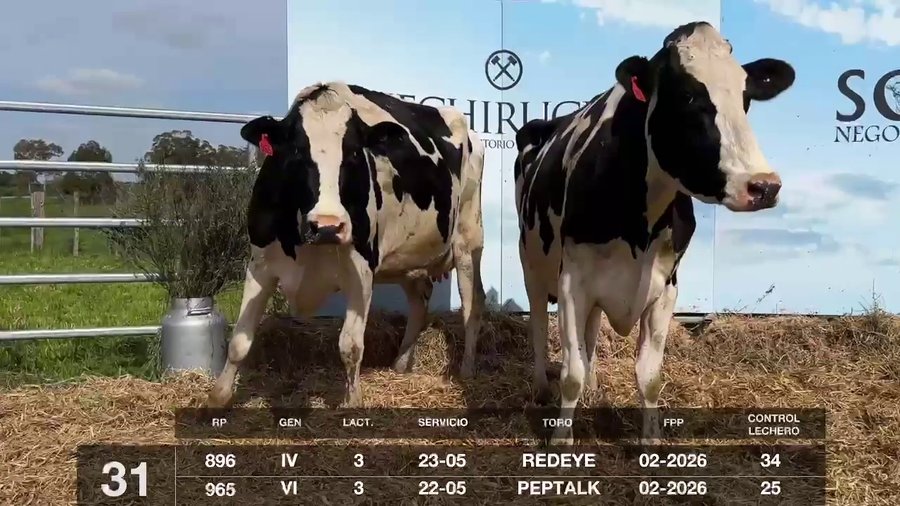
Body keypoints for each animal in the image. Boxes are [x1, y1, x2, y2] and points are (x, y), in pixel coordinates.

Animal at [207, 81, 486, 409]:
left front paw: (352, 402)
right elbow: (240, 340)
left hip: (468, 240)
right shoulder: (260, 265)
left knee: (472, 306)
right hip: (409, 257)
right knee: (420, 302)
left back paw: (466, 370)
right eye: (296, 151)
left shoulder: (361, 269)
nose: (327, 225)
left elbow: (350, 346)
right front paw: (218, 397)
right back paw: (400, 364)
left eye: (353, 153)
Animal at [513, 21, 795, 444]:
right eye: (688, 96)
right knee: (535, 324)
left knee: (590, 335)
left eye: (746, 97)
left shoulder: (665, 288)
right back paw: (540, 386)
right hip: (531, 263)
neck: (638, 227)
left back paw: (594, 386)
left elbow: (648, 377)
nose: (763, 186)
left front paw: (651, 442)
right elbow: (570, 374)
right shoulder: (571, 282)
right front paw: (562, 443)